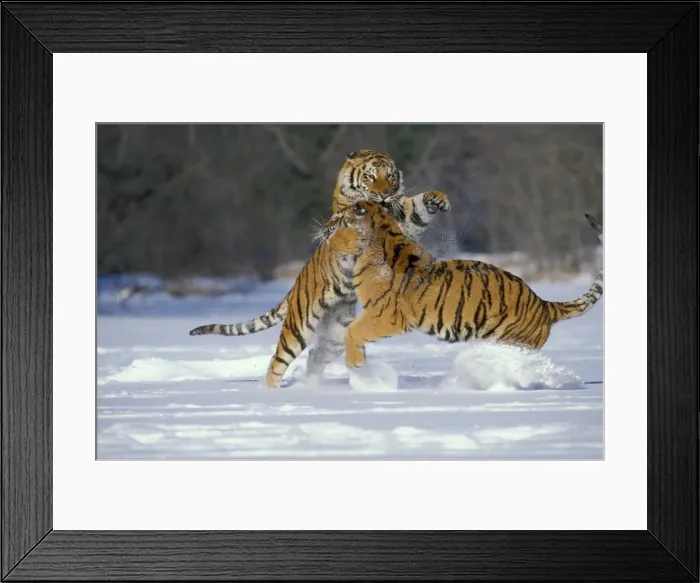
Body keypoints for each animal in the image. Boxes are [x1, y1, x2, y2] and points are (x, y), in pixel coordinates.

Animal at [320, 199, 604, 370]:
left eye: (337, 217)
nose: (324, 227)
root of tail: (544, 304)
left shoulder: (387, 315)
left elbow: (352, 331)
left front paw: (355, 364)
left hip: (513, 343)